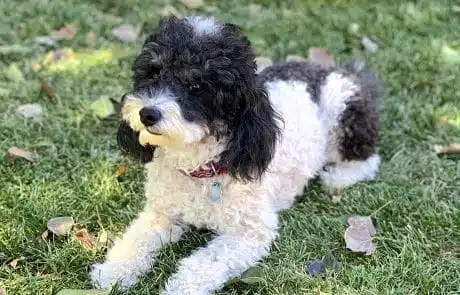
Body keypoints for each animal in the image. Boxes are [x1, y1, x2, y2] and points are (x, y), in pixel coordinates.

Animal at [89, 15, 380, 295]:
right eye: (153, 72)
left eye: (197, 85)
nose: (147, 114)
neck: (201, 168)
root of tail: (327, 69)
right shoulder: (162, 212)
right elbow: (136, 237)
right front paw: (114, 271)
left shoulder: (251, 231)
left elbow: (205, 262)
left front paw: (181, 287)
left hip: (343, 108)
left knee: (369, 158)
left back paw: (338, 177)